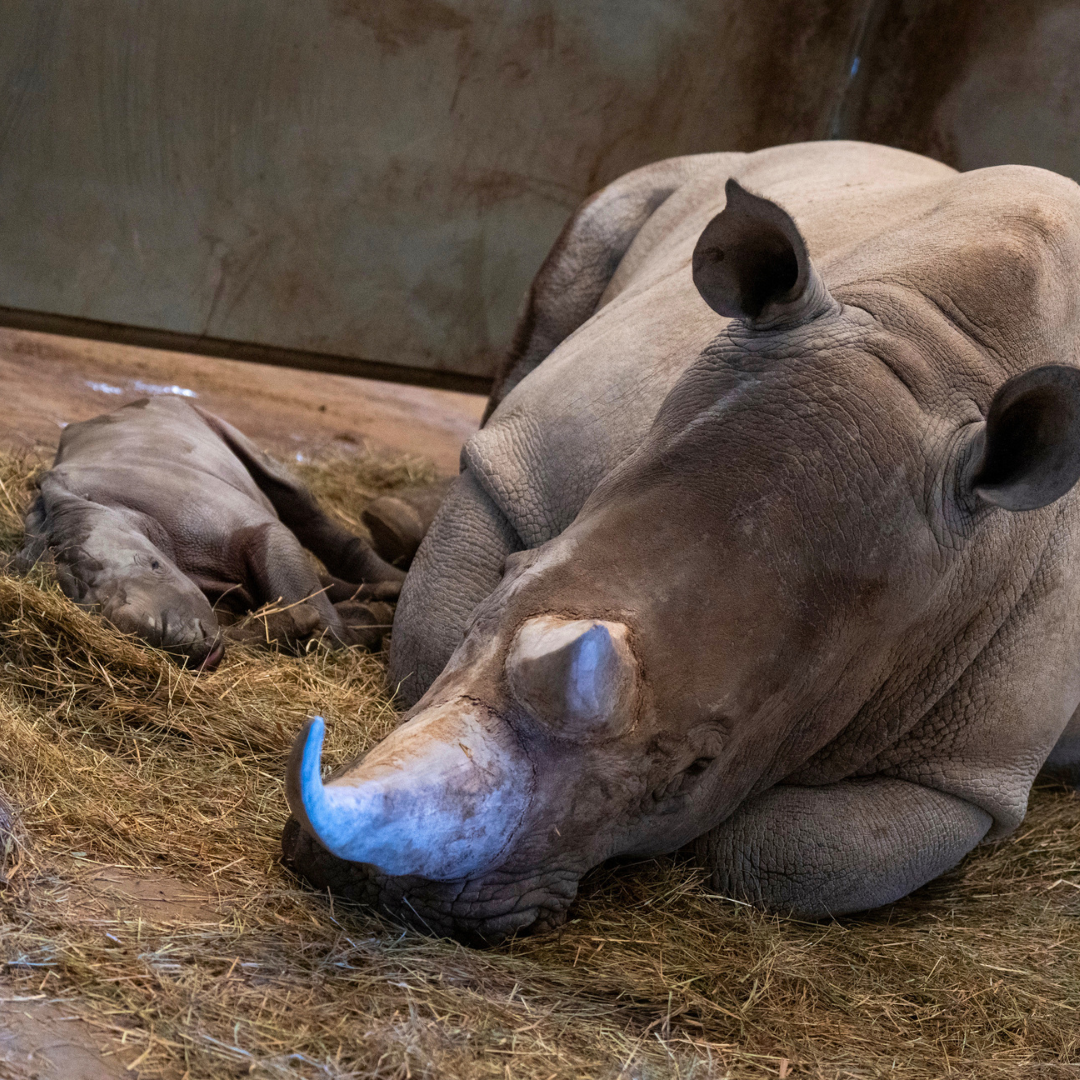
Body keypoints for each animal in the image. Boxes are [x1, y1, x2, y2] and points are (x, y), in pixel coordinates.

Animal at [18, 396, 403, 668]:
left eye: (155, 565)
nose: (165, 640)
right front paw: (355, 617)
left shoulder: (246, 526)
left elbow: (305, 600)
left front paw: (353, 626)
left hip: (195, 416)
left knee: (290, 495)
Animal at [283, 140, 1080, 943]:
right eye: (505, 581)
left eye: (699, 767)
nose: (374, 885)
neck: (938, 350)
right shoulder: (523, 464)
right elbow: (428, 642)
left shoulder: (971, 772)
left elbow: (784, 853)